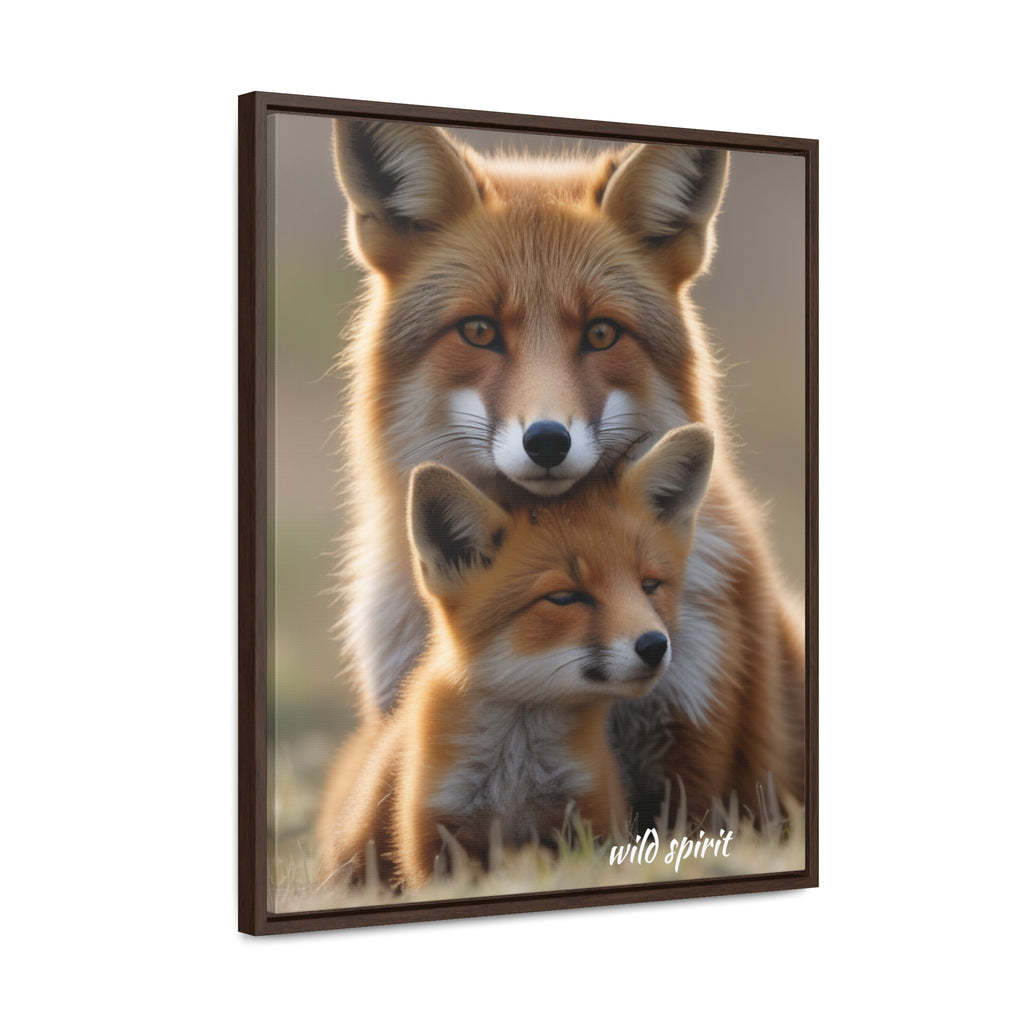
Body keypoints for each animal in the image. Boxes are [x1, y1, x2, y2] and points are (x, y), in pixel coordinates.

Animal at [317, 425, 714, 890]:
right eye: (564, 598)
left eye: (650, 586)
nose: (654, 645)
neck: (515, 778)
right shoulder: (433, 840)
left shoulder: (590, 819)